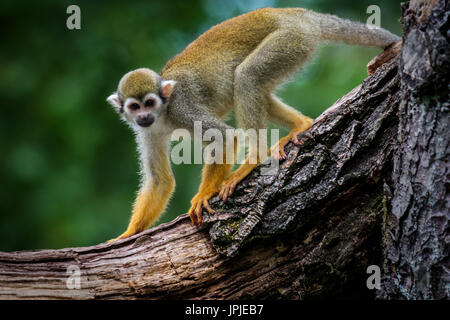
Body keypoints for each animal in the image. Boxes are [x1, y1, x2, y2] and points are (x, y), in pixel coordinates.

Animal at [106, 6, 400, 240]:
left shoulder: (181, 108)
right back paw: (301, 124)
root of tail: (296, 13)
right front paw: (128, 234)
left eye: (150, 102)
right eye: (134, 107)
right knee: (254, 86)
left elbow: (224, 137)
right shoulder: (147, 132)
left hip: (289, 40)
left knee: (247, 76)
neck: (164, 114)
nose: (144, 116)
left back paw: (254, 158)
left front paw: (204, 195)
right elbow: (160, 181)